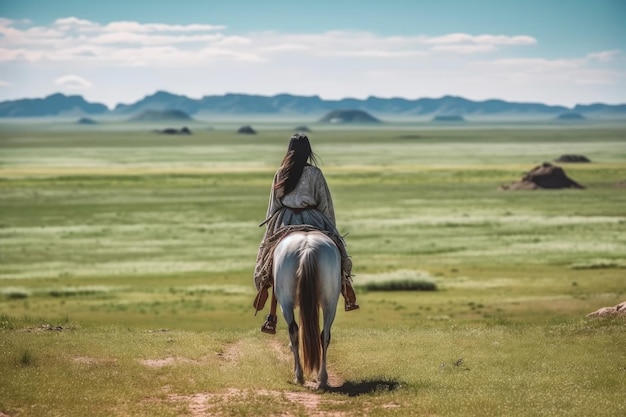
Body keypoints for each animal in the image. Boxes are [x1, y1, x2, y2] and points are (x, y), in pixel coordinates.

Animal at [272, 229, 342, 388]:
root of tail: (307, 248)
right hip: (330, 303)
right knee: (325, 335)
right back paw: (322, 379)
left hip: (285, 303)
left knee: (294, 331)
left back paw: (300, 376)